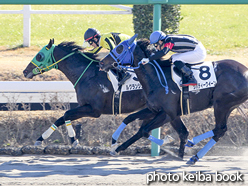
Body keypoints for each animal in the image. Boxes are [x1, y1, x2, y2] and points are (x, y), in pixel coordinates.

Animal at [23, 38, 152, 147]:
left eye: (39, 56)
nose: (25, 71)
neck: (87, 75)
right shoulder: (84, 106)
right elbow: (61, 118)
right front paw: (40, 139)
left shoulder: (94, 110)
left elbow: (66, 114)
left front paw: (73, 140)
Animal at [100, 35, 248, 166]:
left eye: (119, 48)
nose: (102, 62)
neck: (157, 78)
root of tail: (245, 71)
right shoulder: (156, 110)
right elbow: (130, 118)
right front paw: (114, 143)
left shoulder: (168, 113)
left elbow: (144, 130)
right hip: (227, 106)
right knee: (220, 131)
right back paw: (193, 154)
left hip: (221, 104)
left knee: (219, 129)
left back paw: (193, 146)